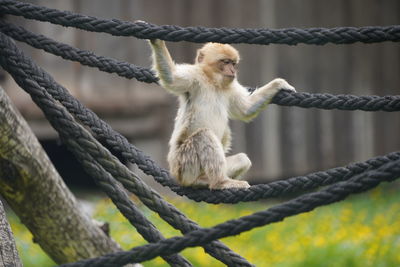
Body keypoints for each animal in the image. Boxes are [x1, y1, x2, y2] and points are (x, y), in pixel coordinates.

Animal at [148, 39, 296, 191]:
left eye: (233, 63)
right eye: (225, 62)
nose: (232, 70)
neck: (213, 82)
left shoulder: (230, 86)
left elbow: (246, 109)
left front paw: (278, 84)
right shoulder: (195, 76)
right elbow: (171, 78)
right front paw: (157, 42)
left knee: (242, 158)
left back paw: (208, 181)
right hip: (183, 164)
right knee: (203, 135)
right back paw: (220, 182)